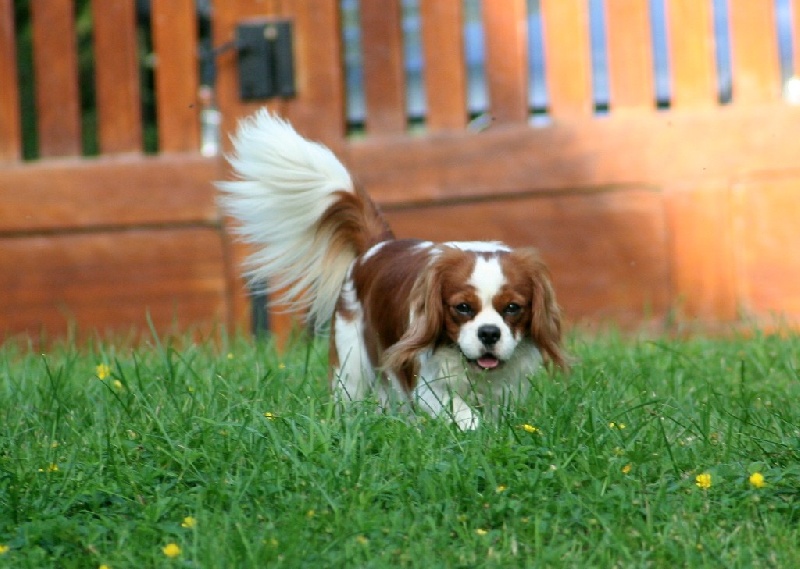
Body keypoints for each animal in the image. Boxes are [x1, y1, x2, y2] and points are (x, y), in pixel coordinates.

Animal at [219, 108, 564, 428]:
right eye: (462, 307)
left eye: (513, 308)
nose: (489, 333)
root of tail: (378, 245)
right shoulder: (424, 382)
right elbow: (463, 412)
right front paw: (474, 431)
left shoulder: (503, 387)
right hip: (352, 364)